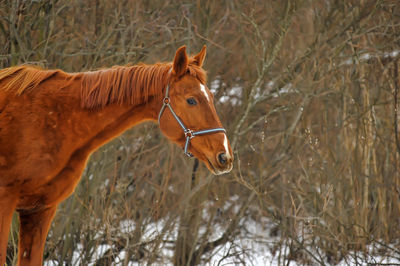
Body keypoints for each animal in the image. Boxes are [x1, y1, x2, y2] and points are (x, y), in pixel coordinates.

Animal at [0, 46, 231, 264]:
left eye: (211, 97)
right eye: (192, 100)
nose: (225, 156)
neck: (48, 120)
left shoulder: (40, 210)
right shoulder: (6, 203)